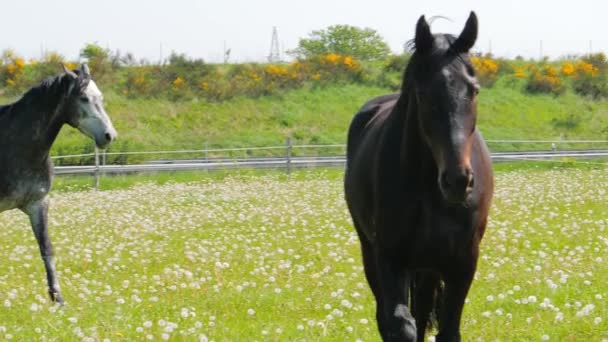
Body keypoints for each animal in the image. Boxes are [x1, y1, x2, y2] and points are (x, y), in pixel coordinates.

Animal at [0, 65, 116, 304]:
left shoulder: (38, 204)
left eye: (100, 97)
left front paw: (58, 299)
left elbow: (47, 249)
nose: (109, 136)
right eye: (83, 98)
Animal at [344, 11, 492, 342]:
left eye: (474, 90)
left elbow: (447, 329)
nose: (458, 181)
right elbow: (400, 324)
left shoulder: (463, 261)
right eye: (423, 93)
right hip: (372, 251)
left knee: (423, 309)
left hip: (428, 266)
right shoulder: (390, 258)